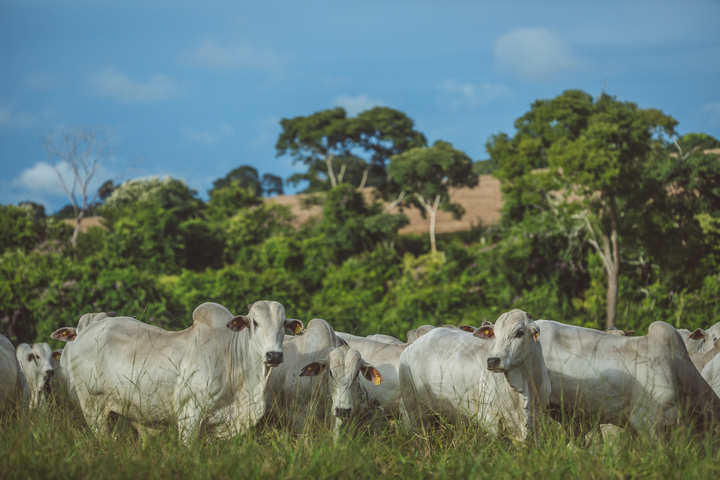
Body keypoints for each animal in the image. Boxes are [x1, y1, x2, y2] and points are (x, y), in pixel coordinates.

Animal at [48, 302, 300, 444]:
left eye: (283, 324)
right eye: (255, 322)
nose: (274, 356)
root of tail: (84, 334)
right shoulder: (189, 414)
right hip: (92, 408)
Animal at [400, 312, 552, 442]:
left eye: (519, 332)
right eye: (495, 335)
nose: (492, 360)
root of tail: (411, 346)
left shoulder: (537, 421)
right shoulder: (489, 420)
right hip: (415, 412)